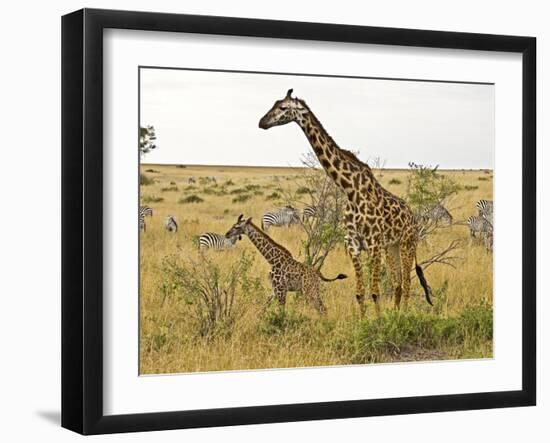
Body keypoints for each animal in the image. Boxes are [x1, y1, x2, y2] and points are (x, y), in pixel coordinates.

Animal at [260, 89, 436, 316]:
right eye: (274, 103)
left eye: (282, 107)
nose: (262, 122)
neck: (350, 190)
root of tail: (413, 217)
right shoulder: (353, 244)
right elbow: (360, 292)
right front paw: (364, 321)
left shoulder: (373, 244)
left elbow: (375, 291)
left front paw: (379, 322)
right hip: (392, 246)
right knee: (397, 282)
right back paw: (396, 314)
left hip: (408, 243)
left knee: (406, 283)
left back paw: (403, 316)